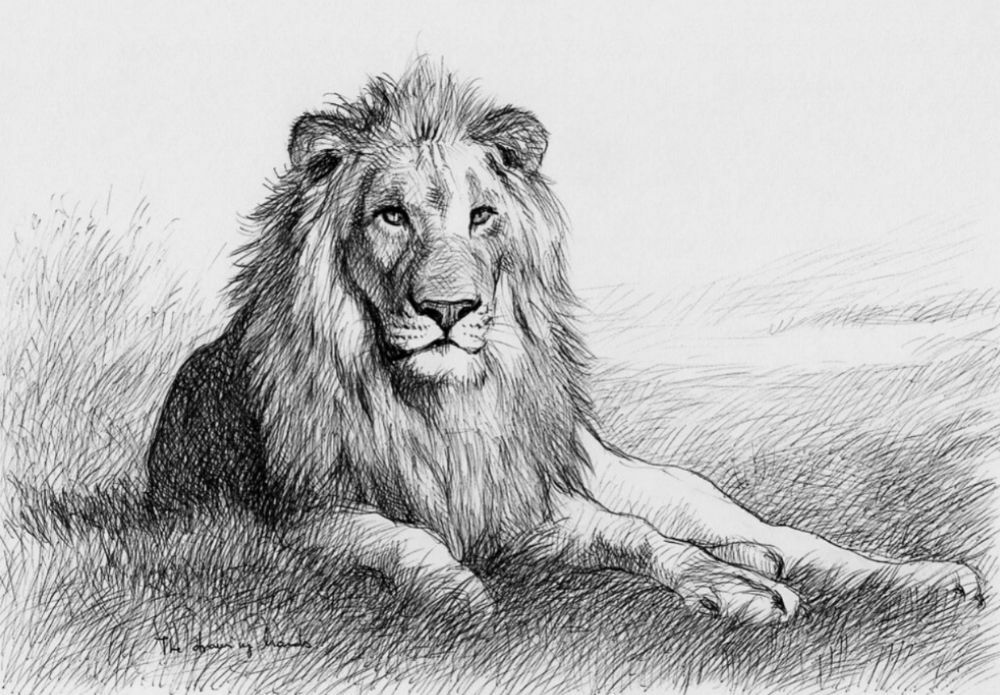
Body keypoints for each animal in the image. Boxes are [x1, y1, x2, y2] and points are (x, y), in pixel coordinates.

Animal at [145, 60, 983, 624]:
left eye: (482, 216)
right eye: (391, 215)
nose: (449, 308)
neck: (441, 406)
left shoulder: (538, 507)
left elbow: (644, 539)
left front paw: (733, 587)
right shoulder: (295, 517)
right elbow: (402, 539)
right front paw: (456, 590)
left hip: (662, 484)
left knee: (783, 536)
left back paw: (921, 577)